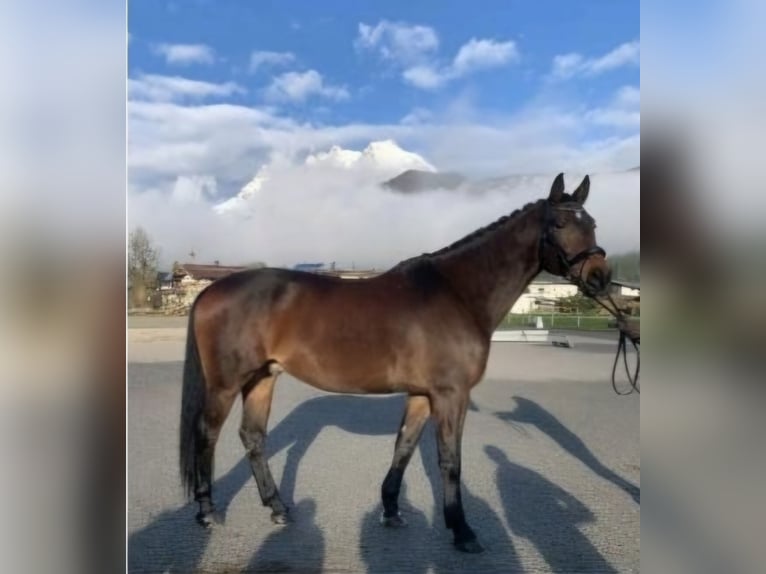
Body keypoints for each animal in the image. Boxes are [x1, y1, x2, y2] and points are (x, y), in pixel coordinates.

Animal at [179, 172, 612, 553]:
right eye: (559, 223)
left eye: (591, 223)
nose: (600, 276)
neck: (457, 293)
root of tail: (210, 291)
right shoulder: (450, 394)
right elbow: (450, 461)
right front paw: (462, 531)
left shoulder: (422, 394)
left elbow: (403, 447)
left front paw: (391, 510)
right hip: (225, 384)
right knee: (207, 434)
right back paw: (207, 512)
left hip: (262, 378)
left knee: (253, 437)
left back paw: (278, 508)